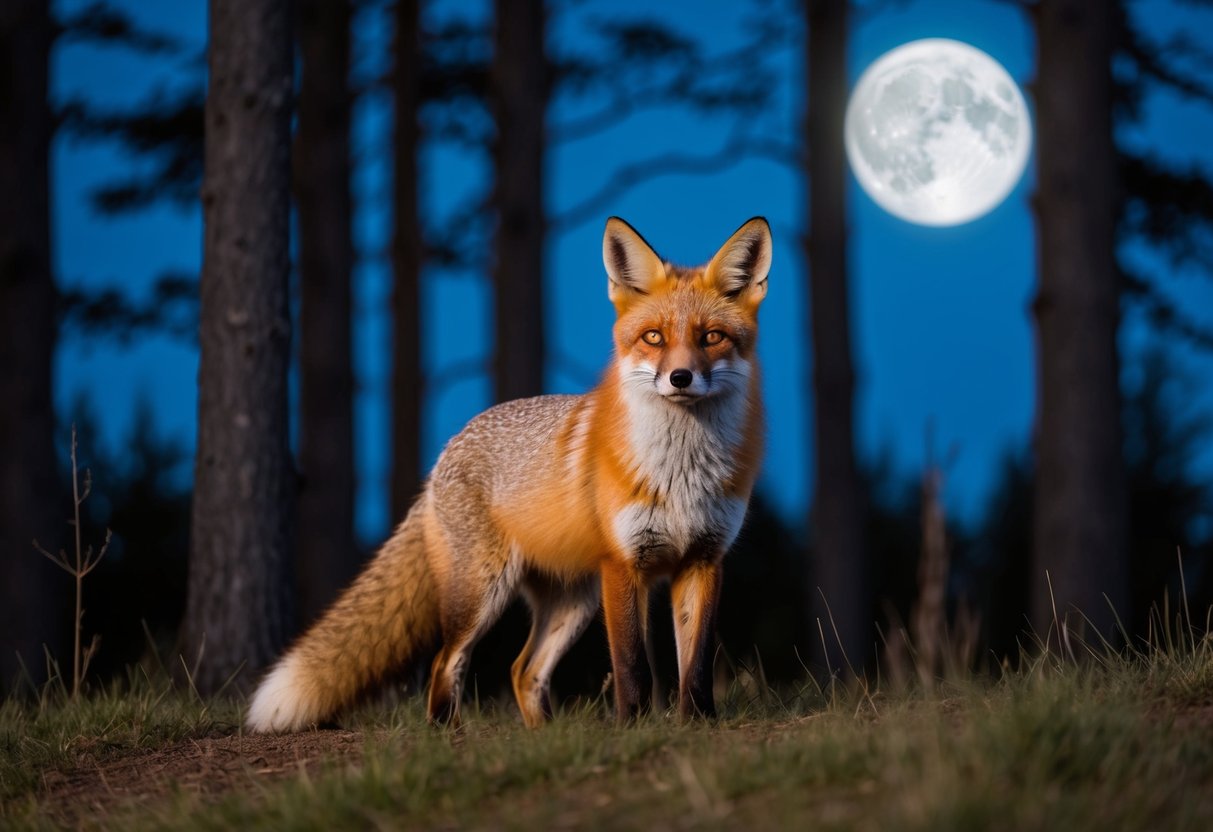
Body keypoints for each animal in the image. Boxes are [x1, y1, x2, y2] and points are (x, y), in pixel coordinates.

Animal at [246, 216, 771, 732]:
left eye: (711, 337)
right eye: (654, 337)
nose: (680, 378)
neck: (681, 473)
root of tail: (445, 452)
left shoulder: (703, 560)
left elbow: (695, 665)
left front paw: (699, 725)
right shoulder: (625, 565)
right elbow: (632, 667)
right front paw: (633, 730)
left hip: (572, 603)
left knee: (523, 670)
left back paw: (544, 738)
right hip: (483, 593)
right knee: (445, 662)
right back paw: (448, 735)